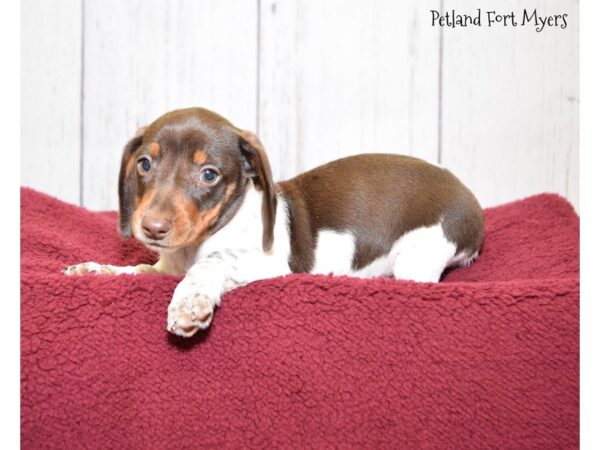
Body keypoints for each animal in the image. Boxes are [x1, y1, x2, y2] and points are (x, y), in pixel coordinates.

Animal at [64, 107, 482, 336]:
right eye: (145, 164)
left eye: (209, 174)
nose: (152, 228)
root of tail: (472, 205)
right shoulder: (164, 267)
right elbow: (136, 270)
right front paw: (95, 270)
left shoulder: (268, 264)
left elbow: (212, 262)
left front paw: (190, 301)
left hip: (417, 255)